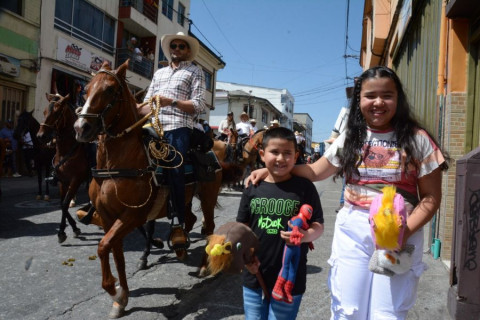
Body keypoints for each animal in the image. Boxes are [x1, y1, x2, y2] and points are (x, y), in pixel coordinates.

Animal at [36, 92, 90, 242]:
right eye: (44, 111)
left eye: (57, 112)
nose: (40, 136)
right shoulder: (63, 181)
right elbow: (62, 204)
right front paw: (73, 228)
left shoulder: (75, 180)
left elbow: (65, 203)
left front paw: (61, 231)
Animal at [72, 60, 219, 318]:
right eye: (87, 88)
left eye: (110, 90)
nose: (81, 127)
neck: (116, 166)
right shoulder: (109, 218)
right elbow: (115, 253)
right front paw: (121, 298)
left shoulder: (133, 215)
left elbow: (102, 246)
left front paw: (112, 290)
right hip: (185, 197)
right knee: (189, 218)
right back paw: (179, 245)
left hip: (207, 198)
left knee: (208, 228)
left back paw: (202, 266)